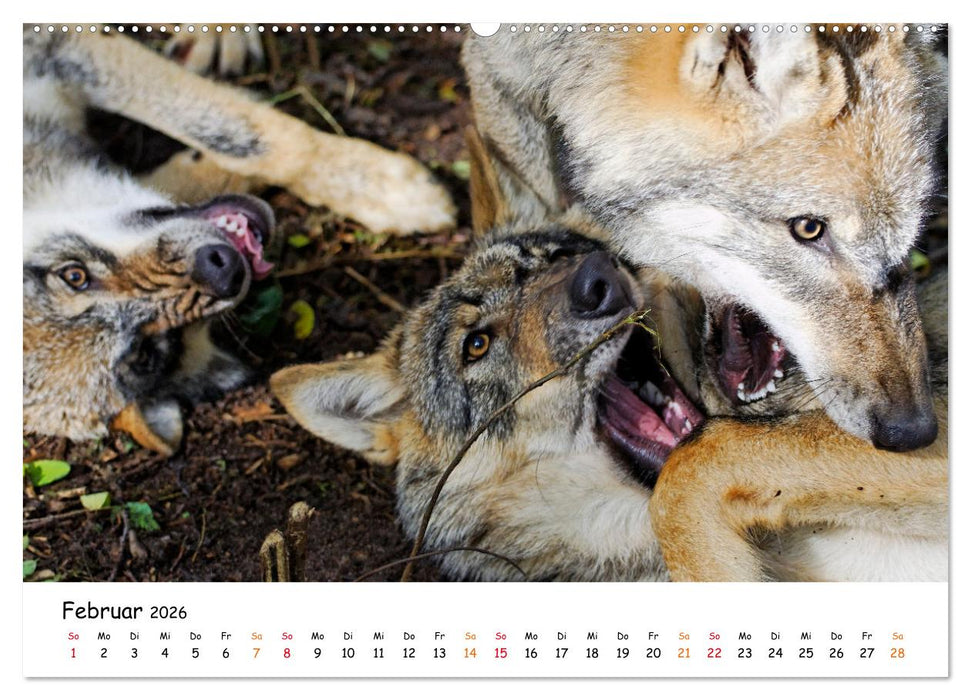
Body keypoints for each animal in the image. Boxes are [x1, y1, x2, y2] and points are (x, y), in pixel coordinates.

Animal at [23, 28, 455, 453]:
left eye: (74, 275)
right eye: (150, 353)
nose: (224, 269)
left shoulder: (62, 49)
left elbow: (250, 139)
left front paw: (388, 190)